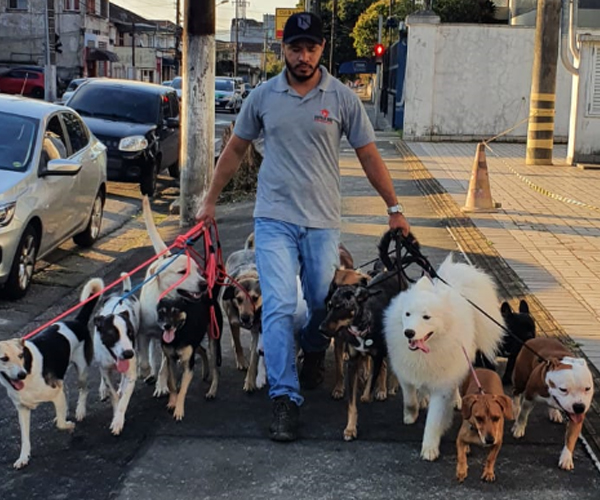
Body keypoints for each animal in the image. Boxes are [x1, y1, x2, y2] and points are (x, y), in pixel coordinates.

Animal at [0, 280, 101, 466]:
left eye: (21, 355)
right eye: (3, 358)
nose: (21, 375)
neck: (29, 369)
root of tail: (77, 322)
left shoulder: (55, 391)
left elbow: (61, 424)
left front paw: (69, 425)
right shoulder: (22, 409)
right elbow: (25, 438)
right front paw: (23, 457)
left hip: (81, 371)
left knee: (83, 389)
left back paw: (80, 411)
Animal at [92, 274, 141, 434]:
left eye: (130, 333)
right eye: (111, 335)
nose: (128, 353)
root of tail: (123, 293)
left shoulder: (130, 371)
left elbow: (124, 397)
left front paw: (118, 420)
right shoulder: (106, 369)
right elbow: (112, 393)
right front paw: (115, 412)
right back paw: (103, 389)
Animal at [382, 254, 504, 460]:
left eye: (426, 317)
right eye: (407, 314)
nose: (408, 332)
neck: (426, 353)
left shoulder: (441, 385)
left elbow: (434, 420)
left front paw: (429, 449)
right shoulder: (406, 374)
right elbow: (410, 399)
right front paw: (411, 415)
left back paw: (455, 400)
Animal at [510, 338, 596, 470]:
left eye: (587, 388)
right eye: (563, 389)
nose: (579, 407)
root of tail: (535, 339)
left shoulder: (577, 417)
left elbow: (571, 437)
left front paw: (566, 458)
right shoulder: (529, 398)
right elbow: (523, 415)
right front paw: (519, 427)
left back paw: (554, 412)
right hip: (521, 380)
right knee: (516, 393)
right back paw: (515, 409)